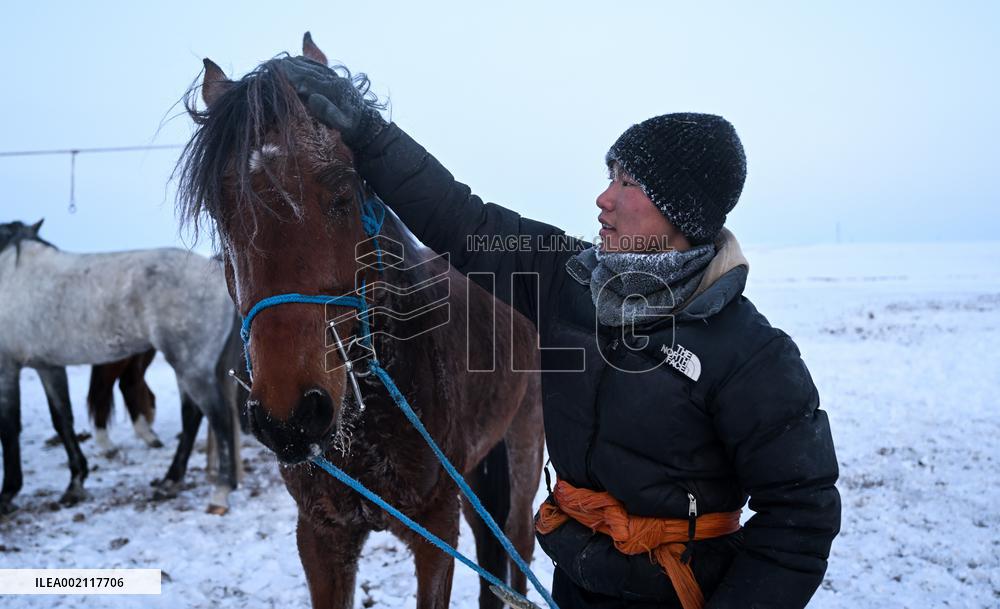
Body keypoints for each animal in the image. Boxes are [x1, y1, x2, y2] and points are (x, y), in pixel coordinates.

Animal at [0, 220, 241, 514]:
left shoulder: (7, 367)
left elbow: (9, 427)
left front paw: (8, 491)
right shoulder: (48, 366)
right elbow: (63, 421)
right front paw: (75, 482)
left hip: (192, 367)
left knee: (218, 417)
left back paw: (220, 491)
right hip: (190, 367)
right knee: (192, 415)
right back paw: (170, 479)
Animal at [176, 34, 545, 609]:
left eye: (344, 193)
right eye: (222, 213)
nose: (290, 415)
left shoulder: (435, 532)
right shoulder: (322, 537)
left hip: (523, 442)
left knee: (518, 541)